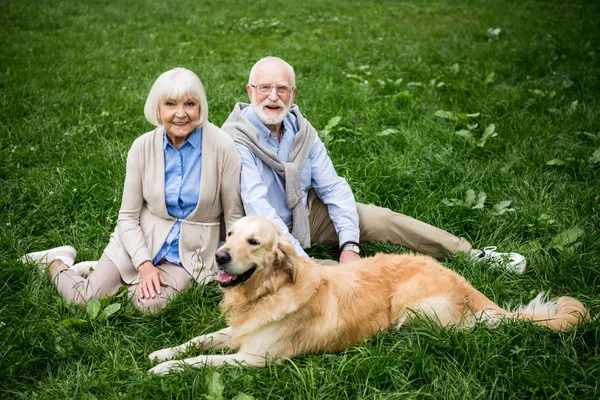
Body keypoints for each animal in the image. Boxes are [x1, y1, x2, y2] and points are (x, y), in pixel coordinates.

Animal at [148, 216, 588, 376]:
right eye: (230, 234)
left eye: (253, 242)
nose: (220, 256)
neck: (268, 293)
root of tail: (469, 286)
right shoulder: (238, 334)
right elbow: (199, 340)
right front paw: (161, 353)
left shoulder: (256, 359)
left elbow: (203, 359)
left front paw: (164, 370)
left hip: (411, 307)